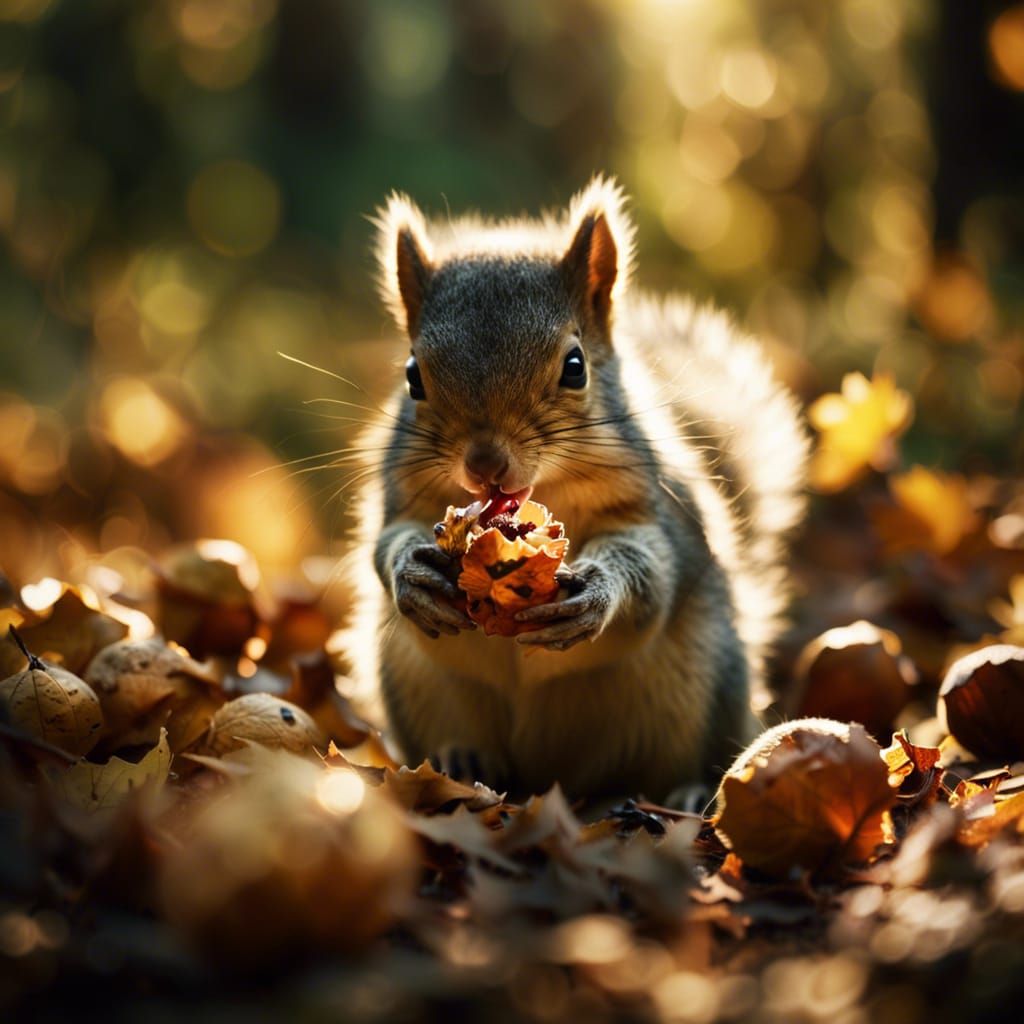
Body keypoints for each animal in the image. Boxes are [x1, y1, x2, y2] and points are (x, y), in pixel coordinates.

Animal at [345, 177, 808, 802]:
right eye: (413, 375)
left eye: (575, 366)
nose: (485, 463)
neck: (545, 491)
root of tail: (552, 775)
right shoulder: (400, 493)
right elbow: (385, 540)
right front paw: (411, 574)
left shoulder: (654, 507)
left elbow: (651, 566)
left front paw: (597, 592)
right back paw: (462, 759)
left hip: (709, 685)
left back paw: (687, 790)